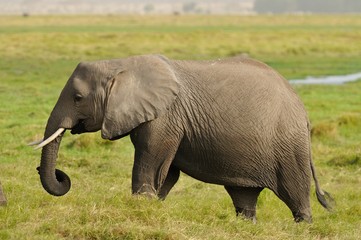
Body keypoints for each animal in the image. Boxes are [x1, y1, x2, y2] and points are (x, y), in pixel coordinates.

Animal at [31, 54, 332, 223]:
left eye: (78, 98)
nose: (61, 175)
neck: (121, 64)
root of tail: (303, 110)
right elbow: (167, 173)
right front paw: (152, 208)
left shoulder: (165, 117)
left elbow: (151, 163)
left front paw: (141, 208)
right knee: (244, 197)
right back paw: (246, 226)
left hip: (288, 144)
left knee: (295, 192)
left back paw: (303, 225)